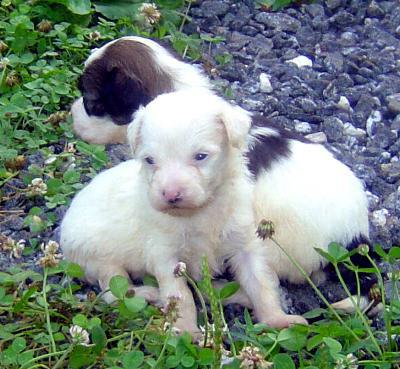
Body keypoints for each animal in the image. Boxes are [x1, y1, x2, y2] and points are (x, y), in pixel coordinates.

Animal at [61, 87, 308, 332]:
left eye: (200, 156)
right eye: (149, 160)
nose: (171, 195)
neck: (199, 212)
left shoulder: (244, 243)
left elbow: (260, 283)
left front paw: (277, 319)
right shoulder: (166, 256)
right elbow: (181, 296)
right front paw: (187, 331)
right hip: (97, 257)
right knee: (112, 289)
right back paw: (149, 293)